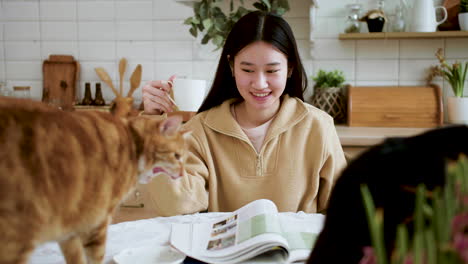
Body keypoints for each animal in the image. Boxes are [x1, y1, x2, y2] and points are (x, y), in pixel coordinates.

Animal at [0, 97, 190, 264]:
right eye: (177, 156)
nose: (182, 174)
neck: (132, 144)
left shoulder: (71, 229)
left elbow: (76, 257)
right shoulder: (97, 221)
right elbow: (95, 257)